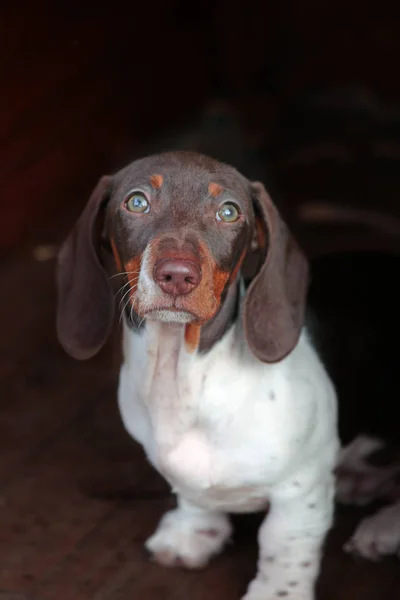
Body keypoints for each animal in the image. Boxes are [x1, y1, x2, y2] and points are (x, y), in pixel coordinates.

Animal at [55, 152, 338, 596]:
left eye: (229, 211)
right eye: (137, 202)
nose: (177, 275)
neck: (186, 376)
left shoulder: (302, 489)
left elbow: (283, 546)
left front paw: (276, 592)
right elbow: (192, 493)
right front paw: (193, 534)